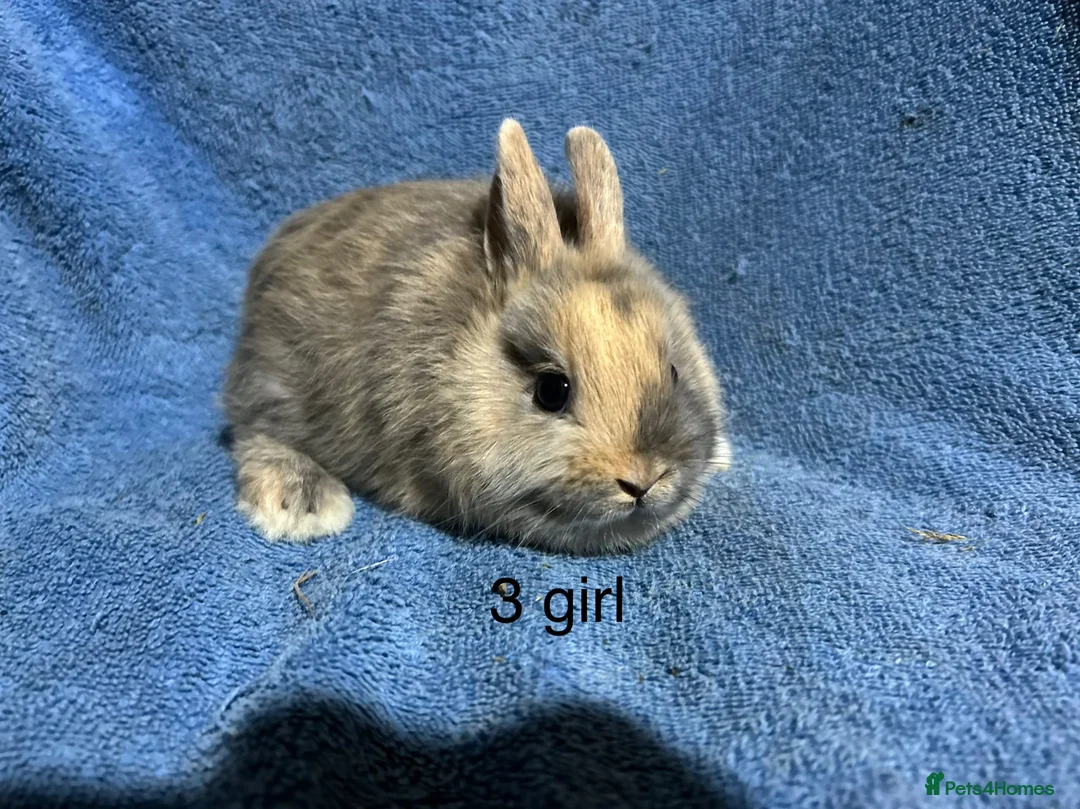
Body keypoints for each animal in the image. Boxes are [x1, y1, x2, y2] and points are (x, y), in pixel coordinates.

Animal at [222, 119, 731, 554]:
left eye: (674, 372)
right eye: (551, 390)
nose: (643, 481)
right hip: (275, 380)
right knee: (255, 430)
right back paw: (304, 503)